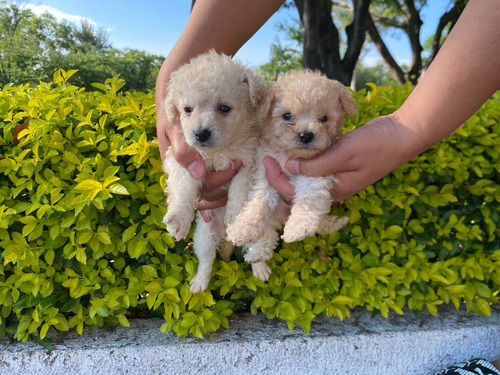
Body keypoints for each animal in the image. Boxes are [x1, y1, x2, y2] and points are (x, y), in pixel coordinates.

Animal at [164, 50, 266, 294]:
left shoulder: (250, 161)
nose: (200, 134)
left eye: (224, 108)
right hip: (203, 237)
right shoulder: (186, 163)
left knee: (256, 251)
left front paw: (235, 214)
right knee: (207, 261)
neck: (220, 150)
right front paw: (178, 219)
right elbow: (183, 190)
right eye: (187, 110)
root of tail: (224, 237)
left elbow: (240, 187)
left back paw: (260, 268)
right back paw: (199, 282)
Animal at [227, 71, 356, 282]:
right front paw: (243, 227)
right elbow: (258, 203)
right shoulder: (266, 173)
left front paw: (297, 227)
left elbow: (308, 201)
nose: (306, 135)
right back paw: (258, 256)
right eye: (287, 116)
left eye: (324, 118)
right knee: (266, 234)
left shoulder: (315, 174)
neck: (291, 155)